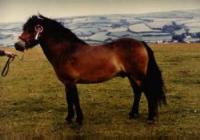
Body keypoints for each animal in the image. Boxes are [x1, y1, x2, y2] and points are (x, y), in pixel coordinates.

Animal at [14, 15, 166, 124]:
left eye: (31, 29)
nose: (17, 45)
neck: (66, 51)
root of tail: (141, 43)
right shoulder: (66, 83)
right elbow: (69, 100)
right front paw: (69, 118)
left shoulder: (71, 82)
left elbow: (75, 100)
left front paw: (79, 120)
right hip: (131, 76)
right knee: (137, 92)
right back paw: (133, 114)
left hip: (138, 76)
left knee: (147, 92)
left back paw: (150, 118)